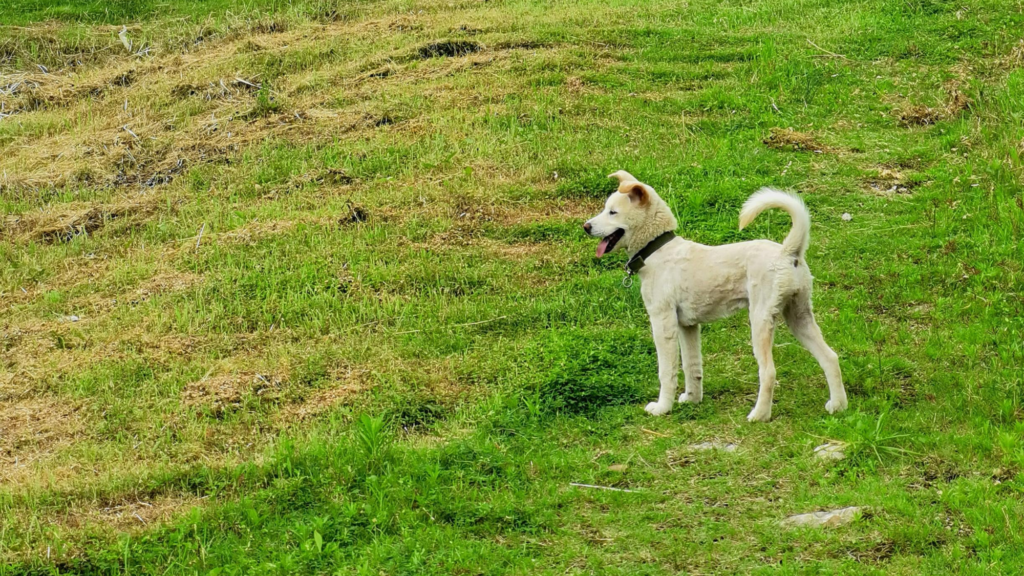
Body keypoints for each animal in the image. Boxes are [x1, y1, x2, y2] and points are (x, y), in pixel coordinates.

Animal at [585, 170, 847, 422]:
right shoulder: (687, 326)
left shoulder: (663, 322)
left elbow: (667, 371)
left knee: (769, 371)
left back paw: (759, 415)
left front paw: (662, 408)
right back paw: (838, 406)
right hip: (799, 315)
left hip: (761, 319)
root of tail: (788, 252)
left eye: (612, 212)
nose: (586, 226)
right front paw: (692, 399)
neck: (658, 249)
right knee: (831, 357)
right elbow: (692, 366)